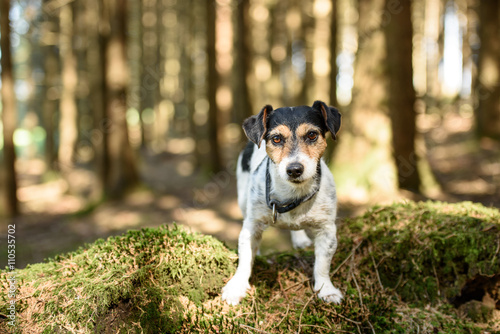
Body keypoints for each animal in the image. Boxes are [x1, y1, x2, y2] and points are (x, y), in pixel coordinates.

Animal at [223, 100, 344, 306]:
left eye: (312, 135)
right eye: (277, 139)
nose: (294, 169)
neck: (294, 195)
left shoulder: (327, 230)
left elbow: (322, 264)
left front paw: (326, 290)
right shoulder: (251, 225)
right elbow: (245, 259)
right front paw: (236, 287)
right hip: (243, 199)